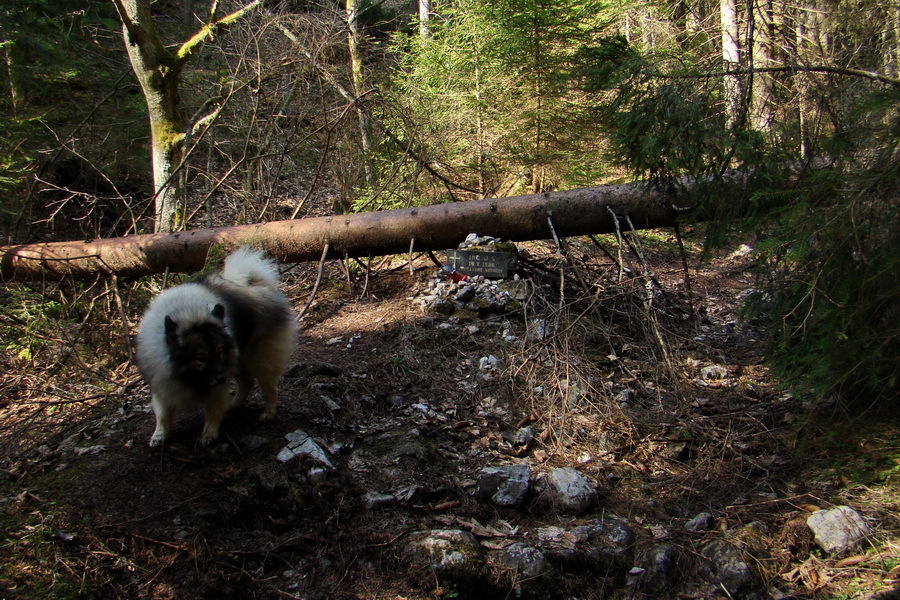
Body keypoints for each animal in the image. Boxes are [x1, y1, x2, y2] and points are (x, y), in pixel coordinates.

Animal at [135, 246, 296, 448]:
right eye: (201, 358)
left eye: (219, 353)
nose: (221, 377)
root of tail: (255, 284)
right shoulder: (162, 381)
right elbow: (163, 412)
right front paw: (159, 434)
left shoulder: (216, 383)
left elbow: (212, 411)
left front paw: (209, 433)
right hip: (237, 359)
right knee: (247, 382)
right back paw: (233, 404)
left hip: (258, 359)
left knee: (268, 387)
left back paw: (268, 412)